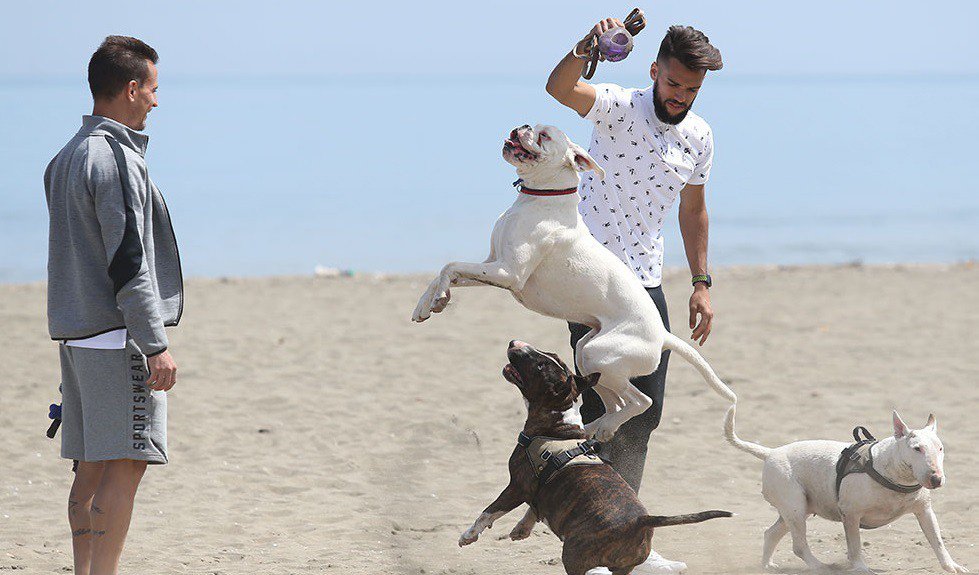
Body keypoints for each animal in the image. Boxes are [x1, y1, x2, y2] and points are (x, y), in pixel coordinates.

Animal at [412, 125, 736, 440]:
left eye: (544, 135)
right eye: (531, 125)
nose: (521, 127)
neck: (539, 197)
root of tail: (663, 336)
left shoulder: (507, 272)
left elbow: (451, 265)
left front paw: (436, 300)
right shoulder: (492, 264)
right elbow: (447, 272)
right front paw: (428, 305)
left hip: (600, 354)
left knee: (641, 401)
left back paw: (604, 426)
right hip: (586, 353)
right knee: (616, 402)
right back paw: (596, 428)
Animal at [460, 342, 728, 575]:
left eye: (540, 366)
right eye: (548, 356)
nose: (514, 343)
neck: (558, 420)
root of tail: (641, 521)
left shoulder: (518, 485)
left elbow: (489, 511)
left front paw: (469, 535)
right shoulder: (539, 491)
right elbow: (533, 510)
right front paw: (521, 529)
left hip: (576, 554)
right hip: (620, 565)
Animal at [728, 408, 964, 572]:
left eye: (940, 448)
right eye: (917, 449)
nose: (936, 479)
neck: (893, 471)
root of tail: (770, 453)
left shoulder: (924, 511)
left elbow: (937, 541)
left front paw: (952, 567)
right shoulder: (850, 513)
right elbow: (855, 545)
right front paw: (861, 568)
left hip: (797, 508)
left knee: (771, 533)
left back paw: (767, 565)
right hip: (794, 506)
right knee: (799, 545)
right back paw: (821, 567)